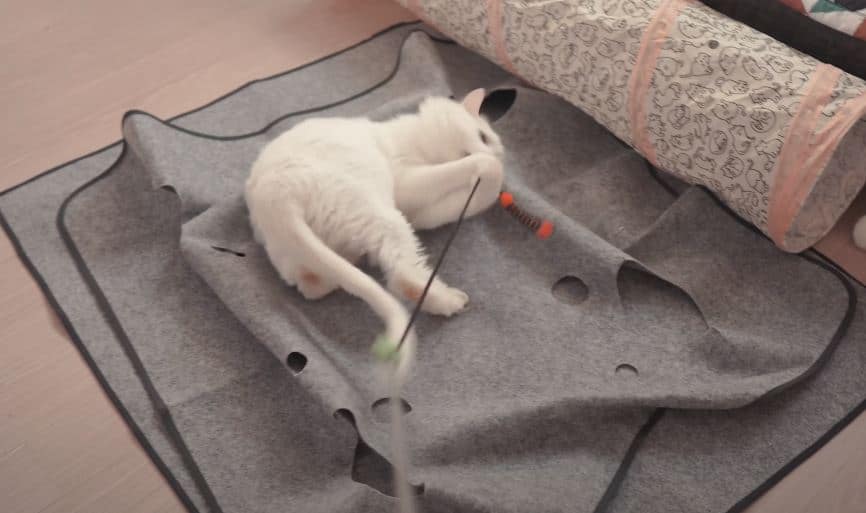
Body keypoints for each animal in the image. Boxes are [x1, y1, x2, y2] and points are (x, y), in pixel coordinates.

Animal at [243, 88, 502, 376]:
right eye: (483, 137)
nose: (495, 153)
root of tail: (274, 197)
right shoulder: (408, 181)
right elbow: (464, 171)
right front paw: (491, 167)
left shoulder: (422, 214)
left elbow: (472, 200)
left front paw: (488, 181)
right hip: (380, 214)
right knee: (404, 278)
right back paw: (448, 300)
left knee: (314, 285)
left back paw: (352, 258)